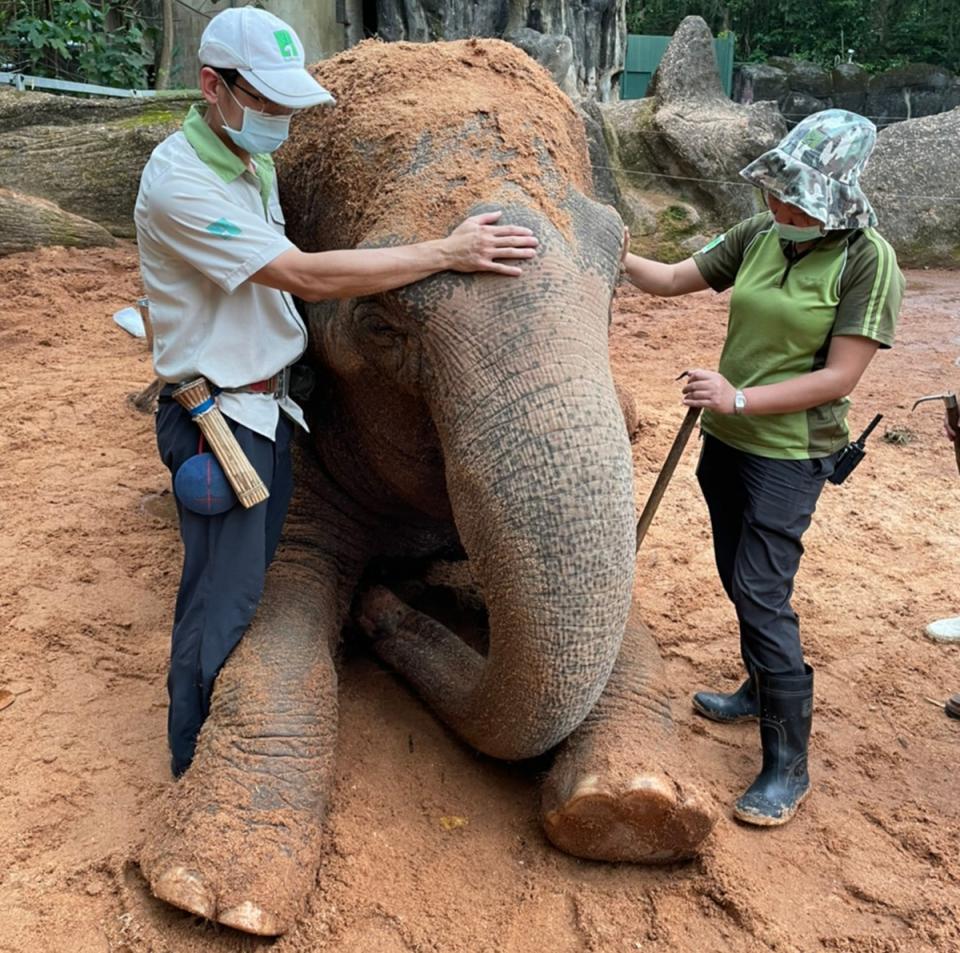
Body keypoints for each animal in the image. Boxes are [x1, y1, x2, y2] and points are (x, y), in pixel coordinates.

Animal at [139, 41, 716, 932]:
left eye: (618, 275)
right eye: (381, 325)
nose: (382, 605)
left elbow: (623, 594)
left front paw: (637, 808)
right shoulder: (302, 449)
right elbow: (277, 597)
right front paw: (213, 884)